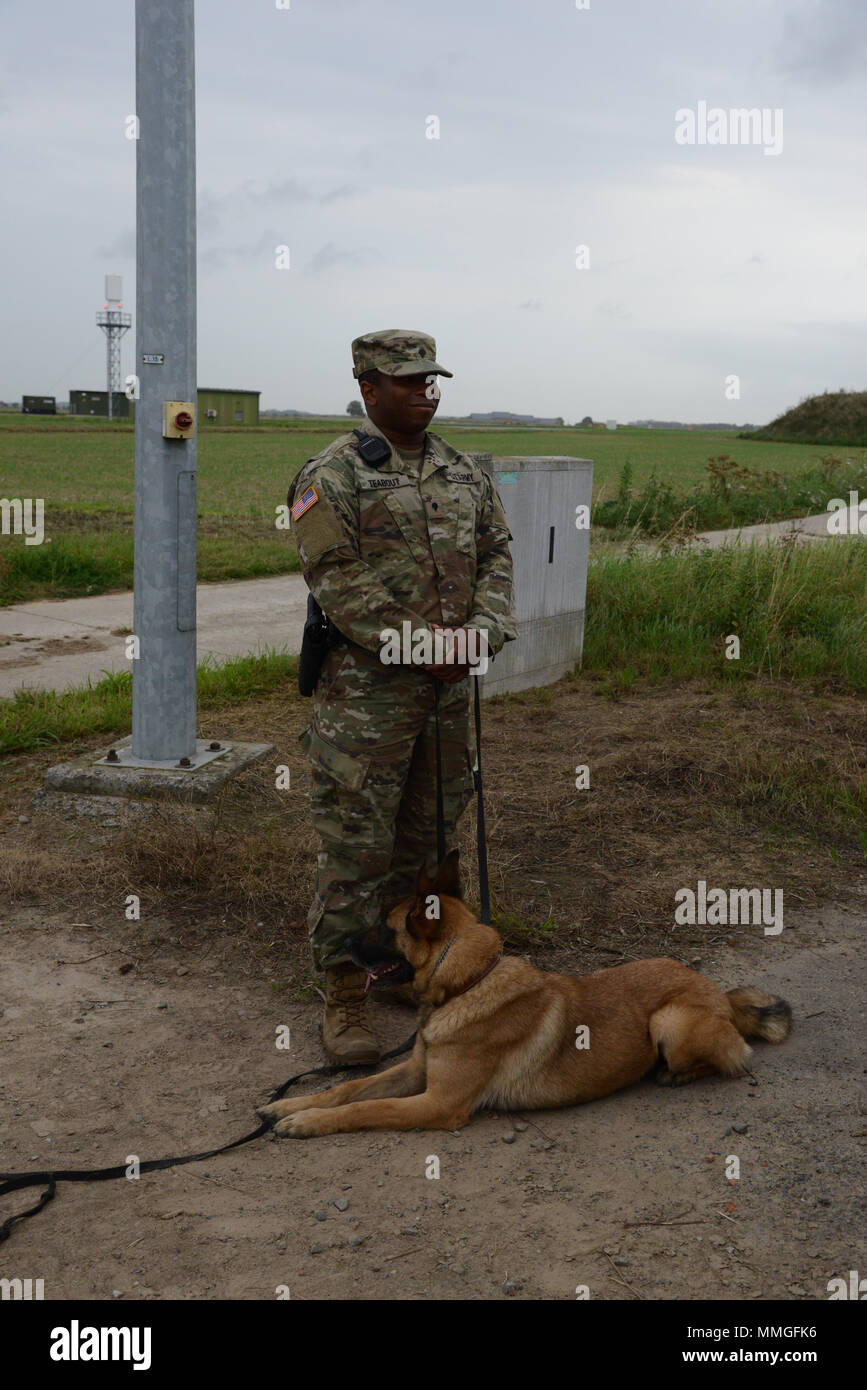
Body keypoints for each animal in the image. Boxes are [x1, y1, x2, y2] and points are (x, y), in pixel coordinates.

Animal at [258, 845, 794, 1139]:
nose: (341, 945)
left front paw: (306, 1123)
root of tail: (720, 994)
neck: (469, 983)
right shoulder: (414, 1071)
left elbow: (366, 1107)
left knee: (733, 1056)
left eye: (382, 928)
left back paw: (674, 1075)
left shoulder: (438, 1103)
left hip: (669, 1022)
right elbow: (347, 1088)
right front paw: (290, 1106)